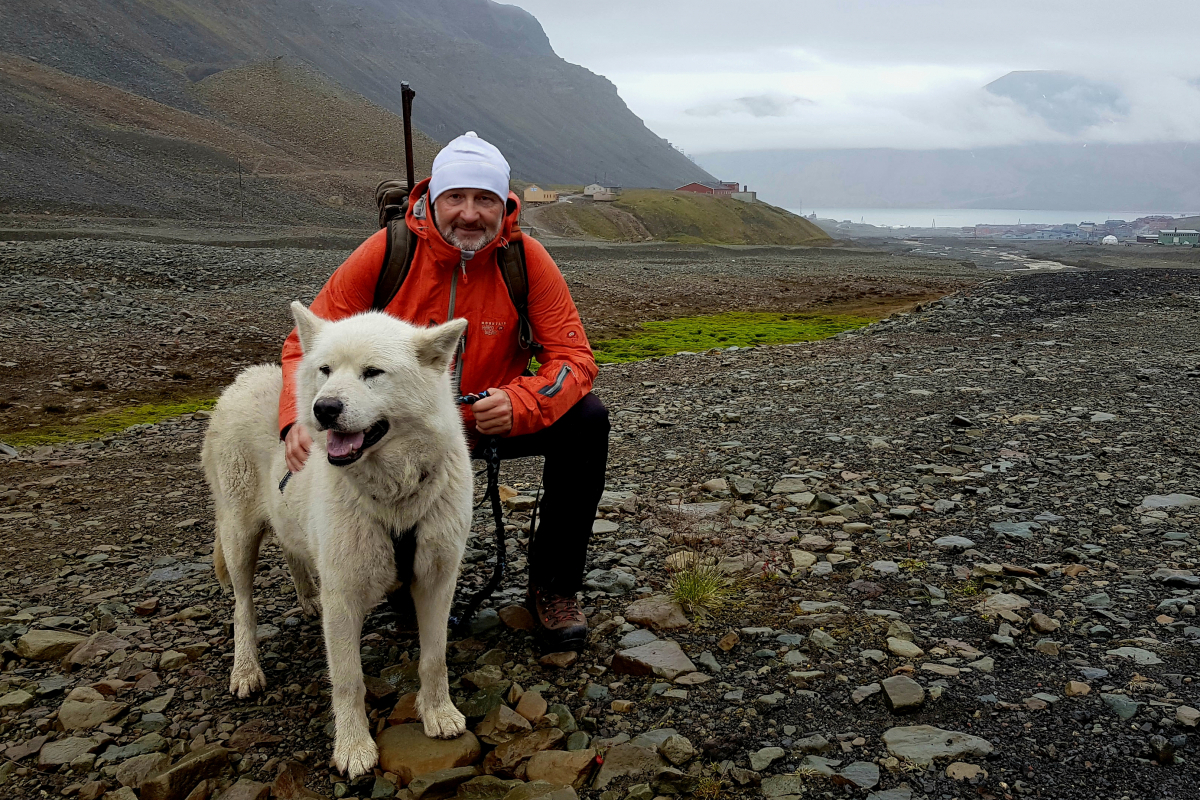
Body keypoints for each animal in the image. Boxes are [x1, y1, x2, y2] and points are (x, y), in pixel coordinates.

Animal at [201, 299, 472, 777]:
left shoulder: (436, 580)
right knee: (242, 607)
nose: (324, 408)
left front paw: (439, 713)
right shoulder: (344, 595)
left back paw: (308, 598)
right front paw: (353, 746)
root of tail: (243, 378)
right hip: (239, 536)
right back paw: (246, 668)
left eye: (373, 372)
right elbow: (348, 679)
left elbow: (434, 658)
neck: (394, 495)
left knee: (293, 552)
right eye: (325, 370)